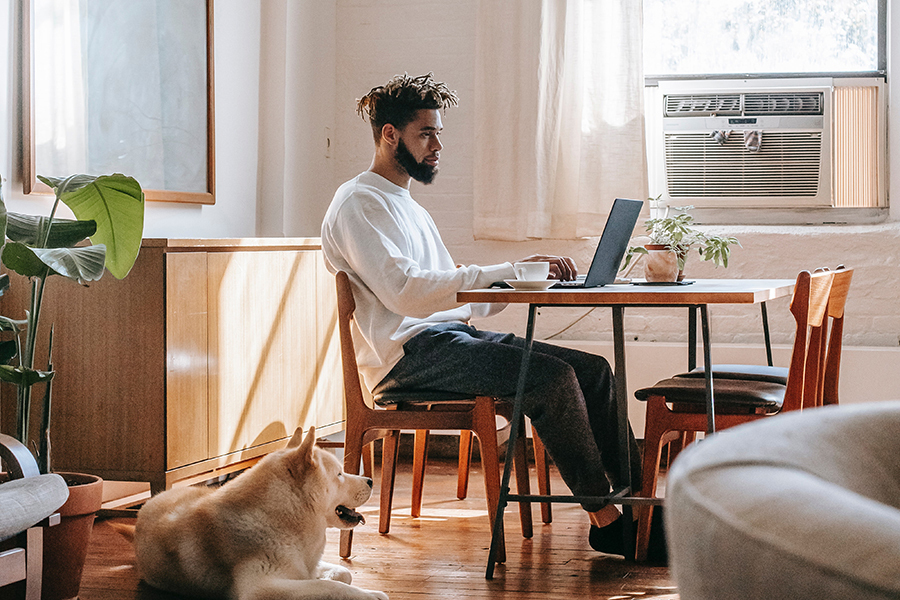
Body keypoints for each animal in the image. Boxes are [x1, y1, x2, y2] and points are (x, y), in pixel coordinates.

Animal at [127, 426, 386, 600]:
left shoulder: (301, 566)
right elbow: (332, 587)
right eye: (340, 474)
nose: (371, 480)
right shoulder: (259, 588)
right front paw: (370, 595)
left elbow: (343, 573)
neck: (282, 517)